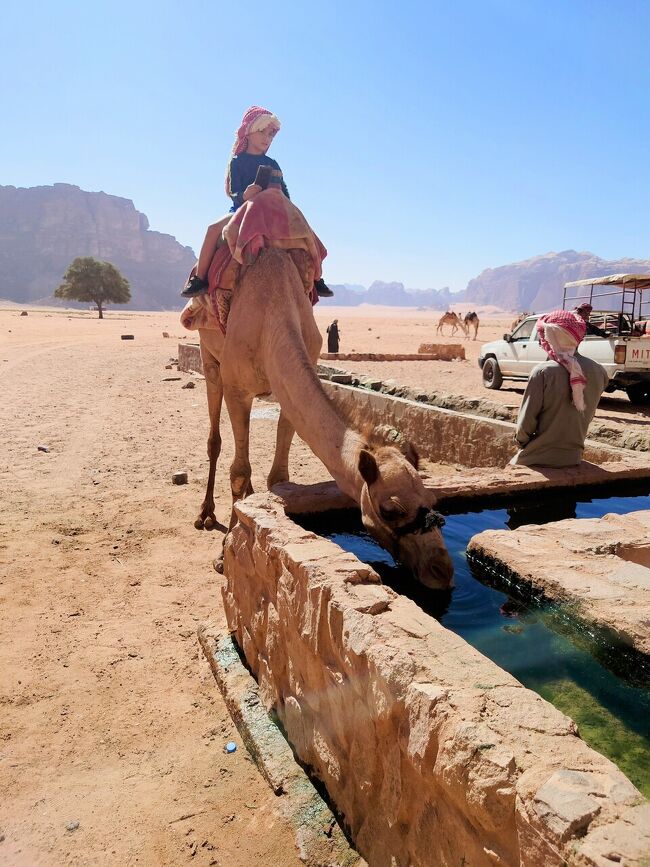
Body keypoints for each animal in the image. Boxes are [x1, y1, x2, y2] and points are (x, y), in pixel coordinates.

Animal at [191, 248, 450, 592]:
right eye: (390, 510)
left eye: (433, 498)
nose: (442, 570)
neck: (272, 315)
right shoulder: (237, 389)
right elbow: (239, 471)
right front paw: (223, 556)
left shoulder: (288, 391)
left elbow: (278, 478)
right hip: (209, 358)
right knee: (215, 439)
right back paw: (205, 514)